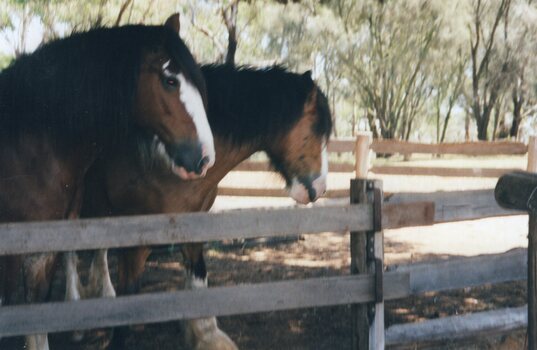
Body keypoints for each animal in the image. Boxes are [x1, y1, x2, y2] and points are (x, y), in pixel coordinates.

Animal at [79, 64, 330, 348]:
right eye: (316, 128)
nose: (320, 188)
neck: (163, 160)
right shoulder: (133, 243)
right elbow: (128, 298)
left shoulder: (194, 225)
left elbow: (198, 277)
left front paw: (206, 334)